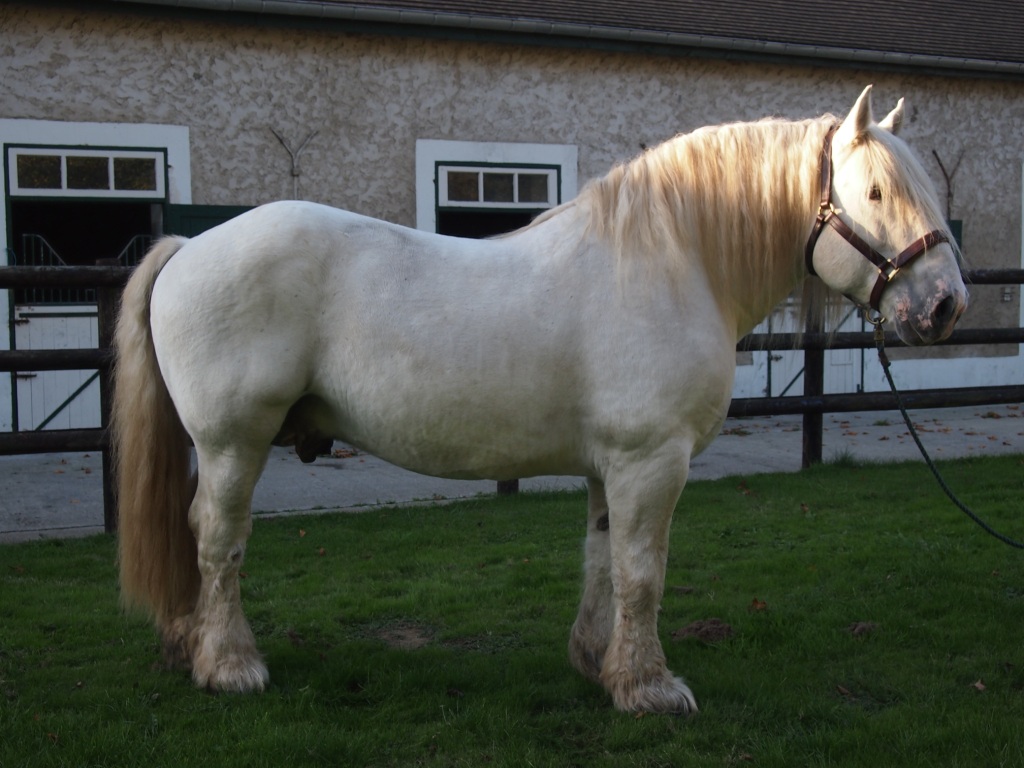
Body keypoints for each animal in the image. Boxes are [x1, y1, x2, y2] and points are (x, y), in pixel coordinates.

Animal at [113, 86, 967, 713]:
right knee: (217, 541)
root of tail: (189, 246)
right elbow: (643, 571)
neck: (673, 261)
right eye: (877, 190)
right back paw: (229, 665)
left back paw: (189, 647)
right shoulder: (651, 461)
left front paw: (599, 664)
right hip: (234, 443)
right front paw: (650, 688)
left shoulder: (611, 467)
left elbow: (602, 561)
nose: (945, 307)